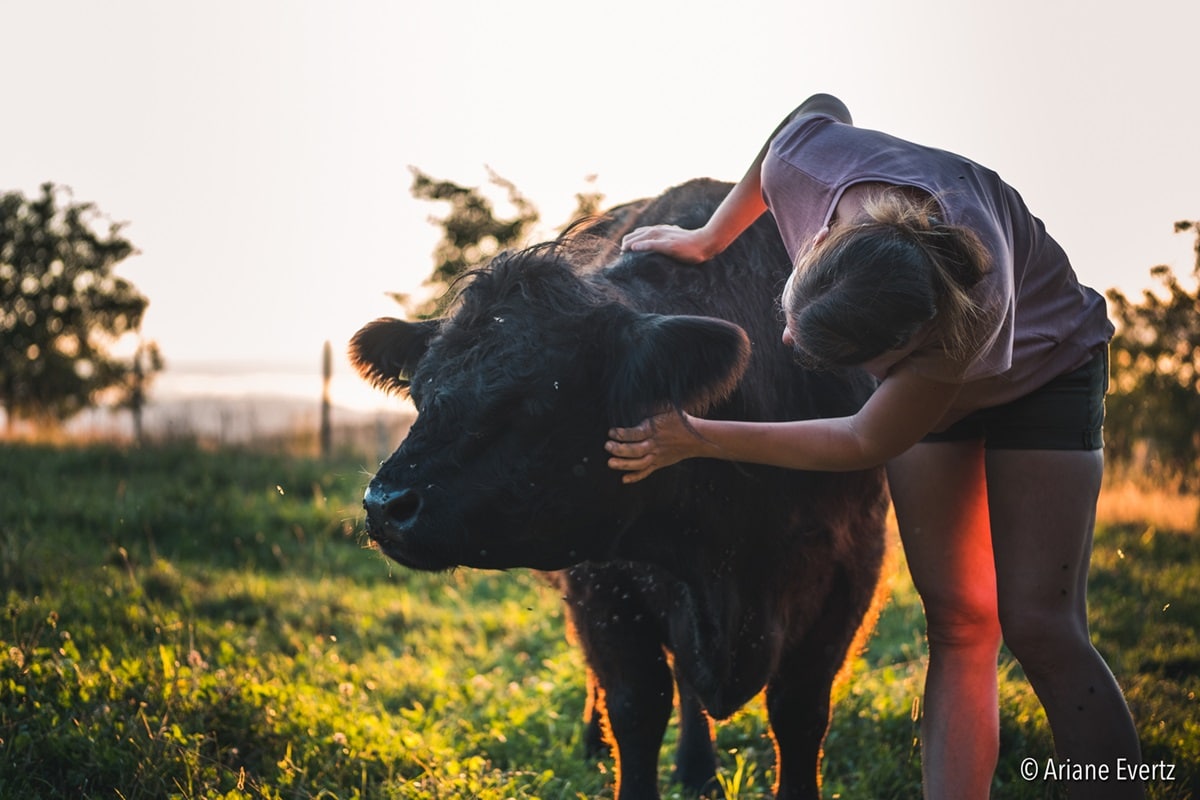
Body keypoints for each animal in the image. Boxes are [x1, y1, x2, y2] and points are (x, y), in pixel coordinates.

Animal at [350, 181, 888, 800]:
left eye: (539, 399)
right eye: (420, 393)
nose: (385, 505)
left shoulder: (850, 568)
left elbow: (799, 712)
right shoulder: (603, 583)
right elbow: (636, 707)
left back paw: (697, 771)